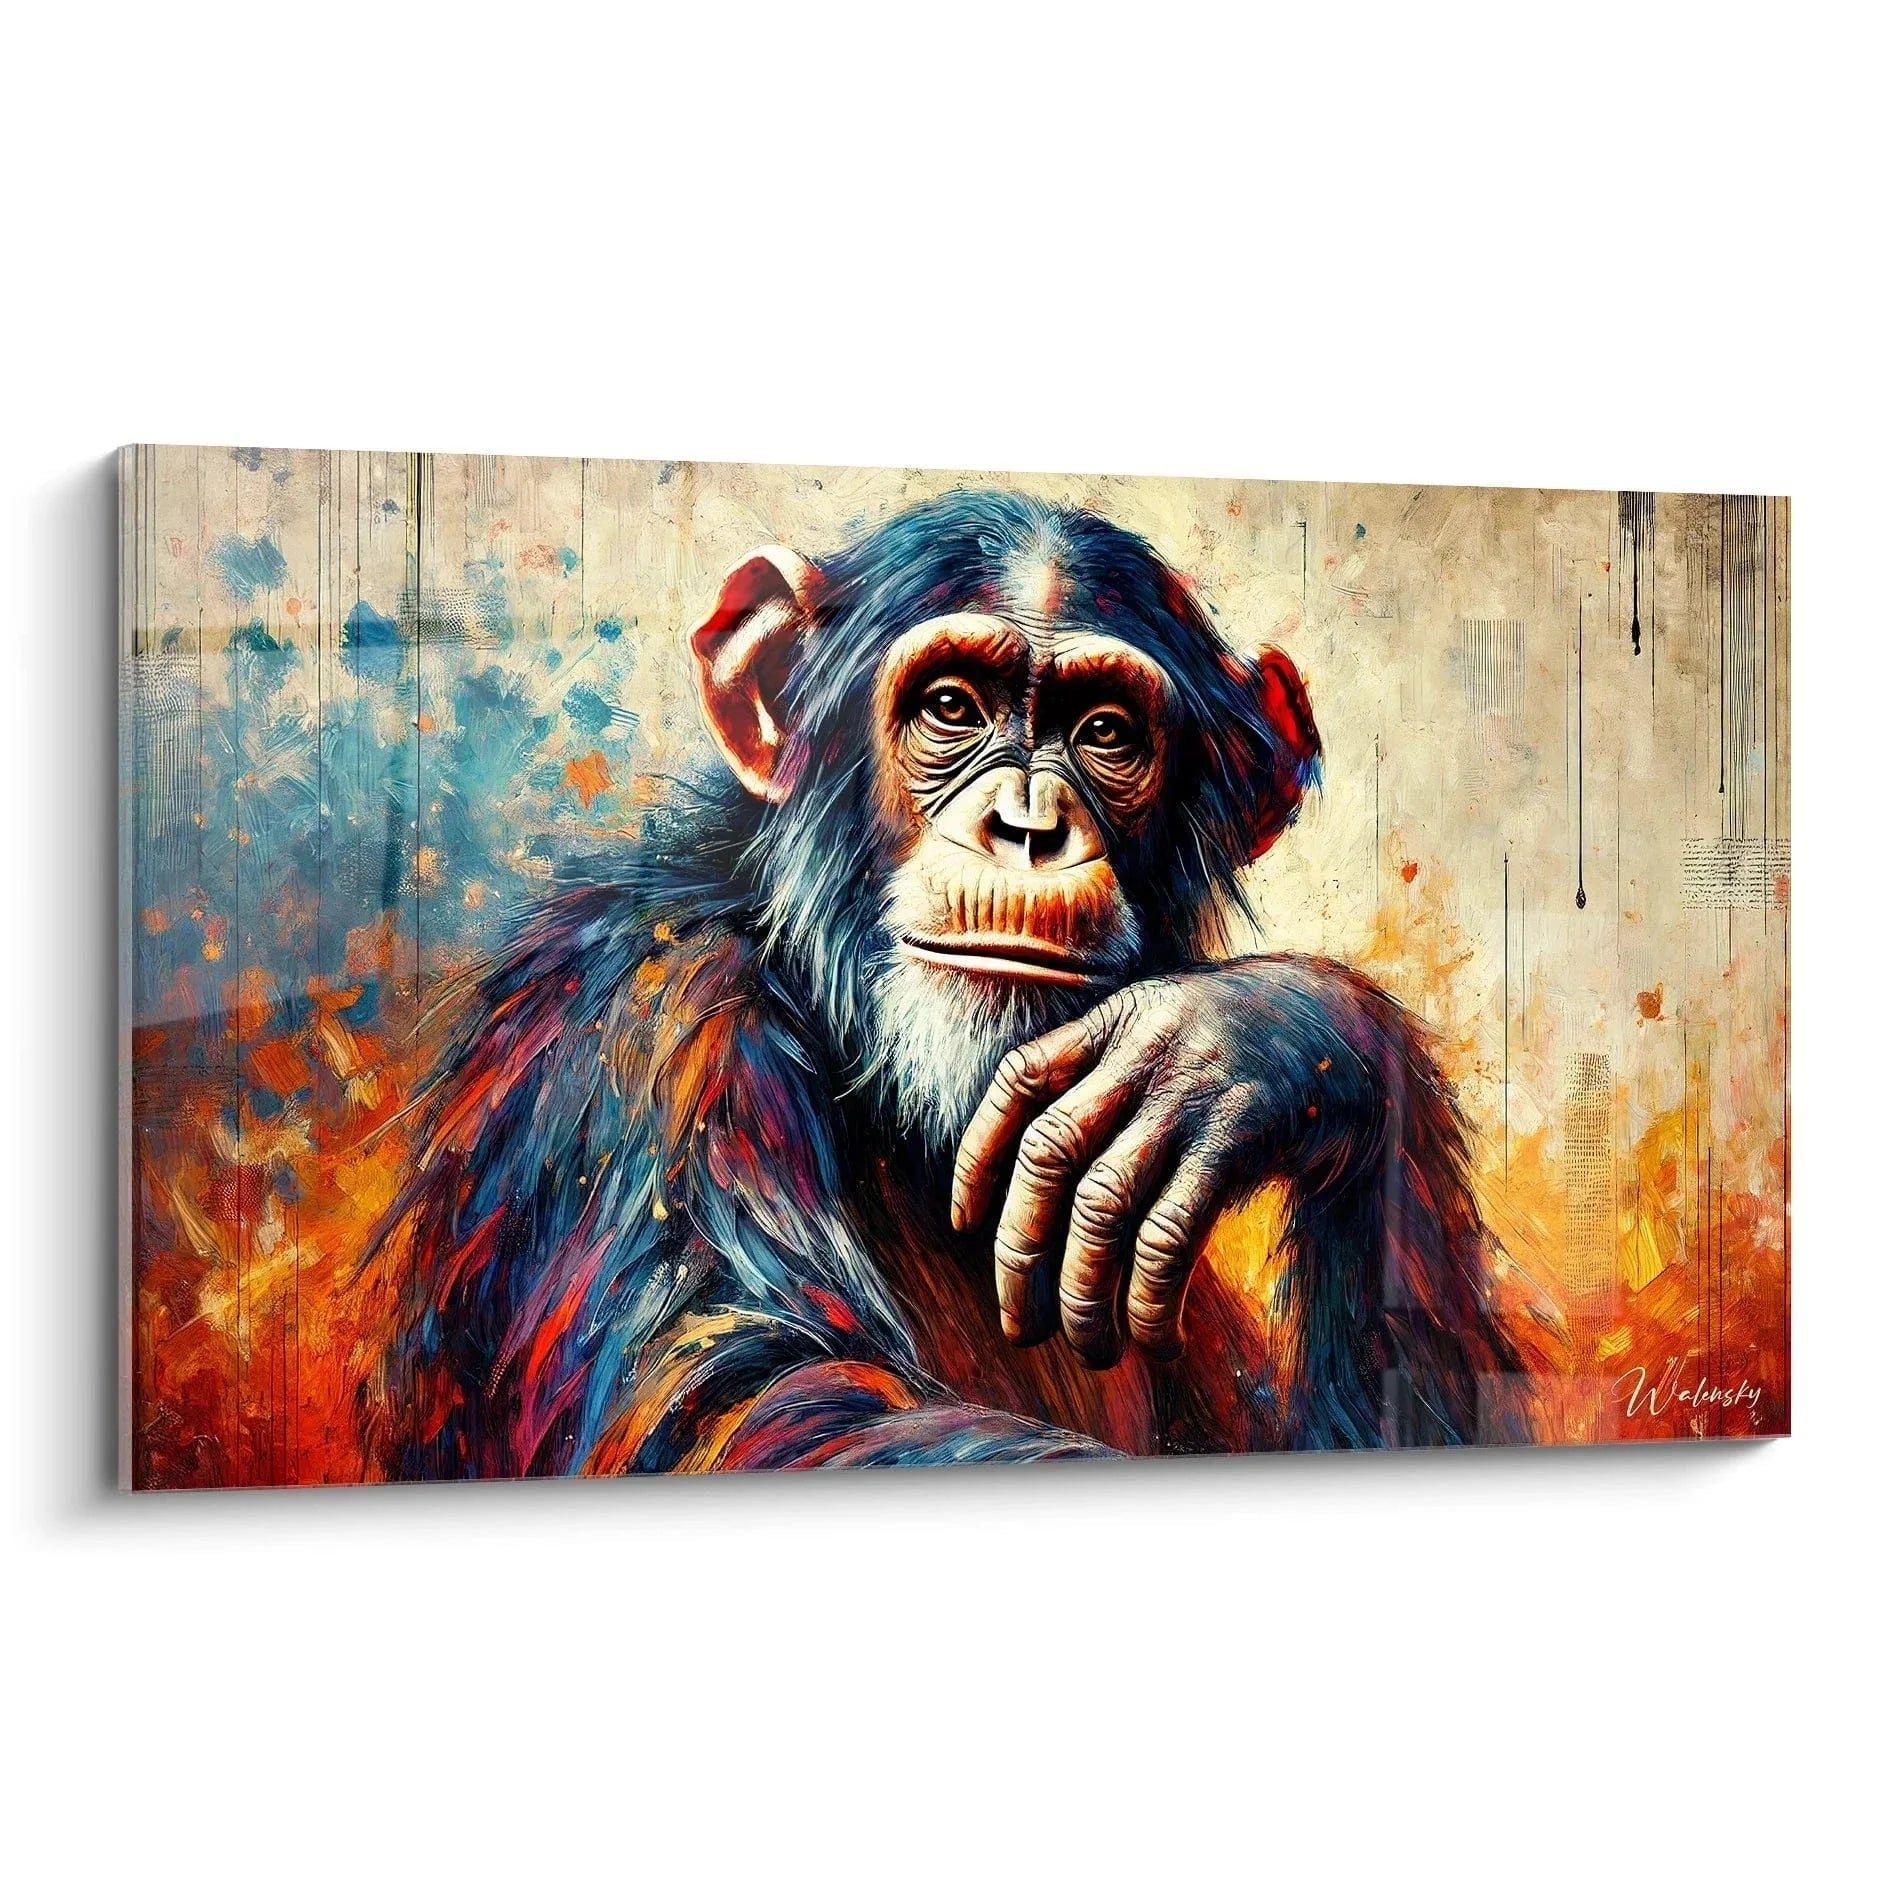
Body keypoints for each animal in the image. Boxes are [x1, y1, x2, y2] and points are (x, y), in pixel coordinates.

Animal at [359, 489, 1524, 1476]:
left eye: (1105, 732)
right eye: (953, 708)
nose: (1027, 827)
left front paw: (1266, 1040)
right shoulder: (647, 1041)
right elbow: (742, 1400)